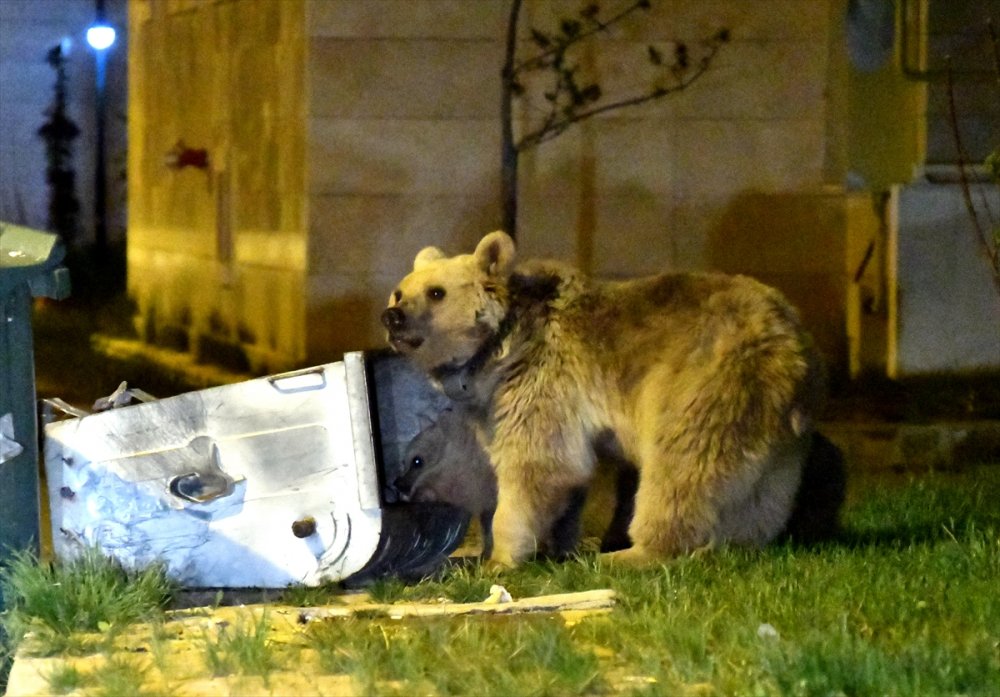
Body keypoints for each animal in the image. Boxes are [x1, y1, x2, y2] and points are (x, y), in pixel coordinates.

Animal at [382, 230, 828, 564]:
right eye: (399, 292)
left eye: (436, 293)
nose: (392, 317)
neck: (499, 347)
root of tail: (793, 348)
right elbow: (566, 478)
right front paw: (556, 544)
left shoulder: (539, 378)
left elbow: (537, 464)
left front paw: (500, 556)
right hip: (775, 428)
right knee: (764, 492)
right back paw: (737, 544)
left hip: (703, 382)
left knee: (681, 467)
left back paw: (635, 552)